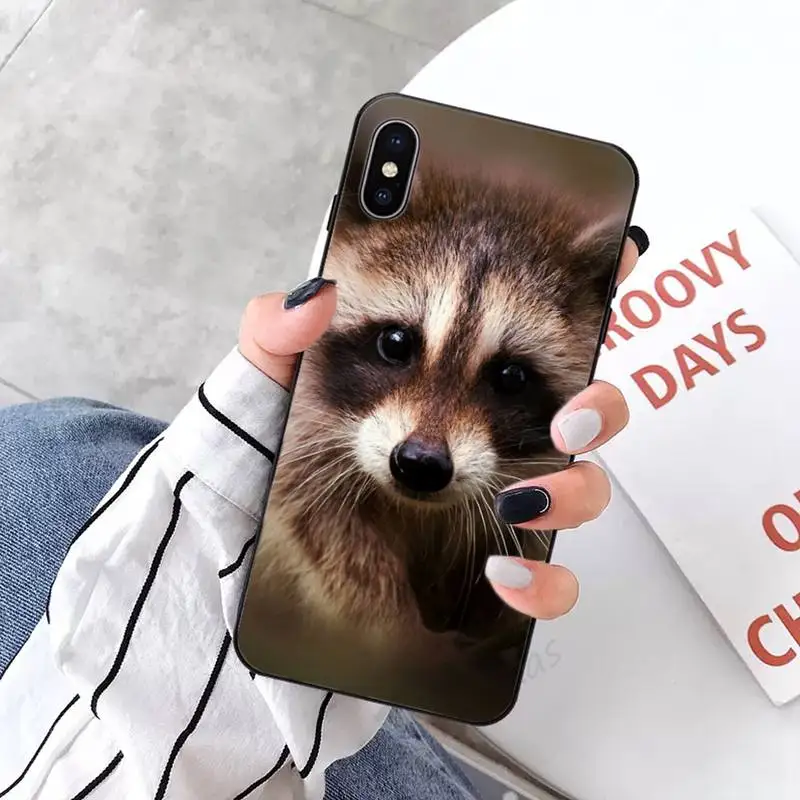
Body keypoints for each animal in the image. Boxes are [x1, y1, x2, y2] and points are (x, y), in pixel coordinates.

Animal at [251, 166, 620, 663]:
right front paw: (395, 643)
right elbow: (322, 528)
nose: (420, 465)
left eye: (511, 376)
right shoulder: (308, 446)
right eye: (395, 342)